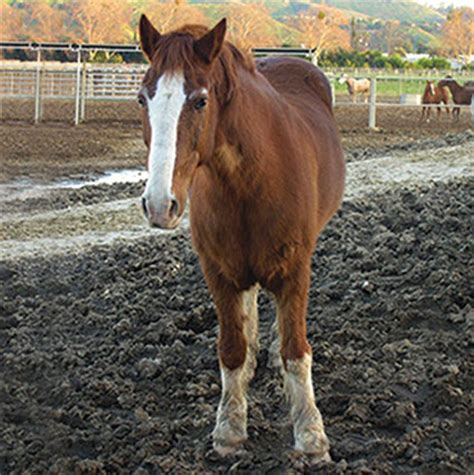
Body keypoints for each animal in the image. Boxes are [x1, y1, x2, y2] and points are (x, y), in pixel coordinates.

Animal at [137, 13, 344, 462]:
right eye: (144, 99)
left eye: (200, 100)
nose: (160, 205)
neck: (249, 182)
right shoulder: (219, 271)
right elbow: (231, 348)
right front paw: (229, 430)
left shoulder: (294, 269)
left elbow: (295, 350)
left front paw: (311, 436)